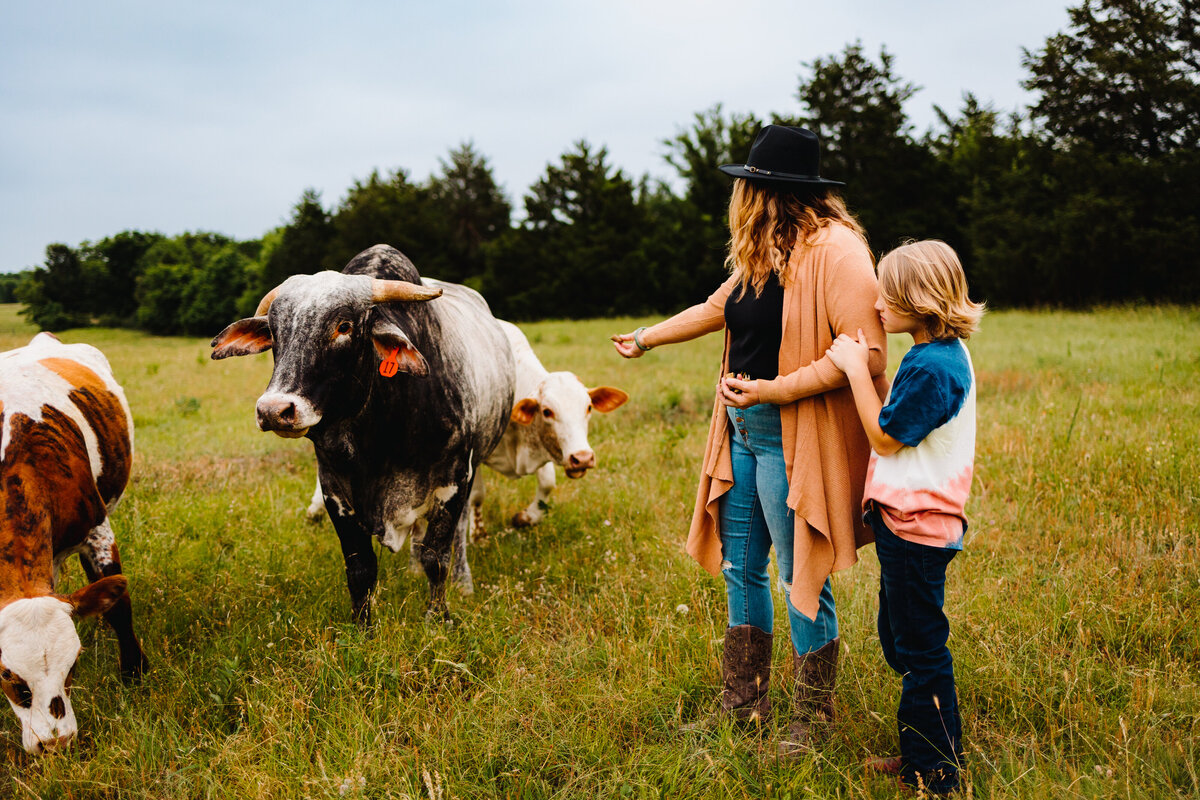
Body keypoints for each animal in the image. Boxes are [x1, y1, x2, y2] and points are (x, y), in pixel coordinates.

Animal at [0, 333, 146, 758]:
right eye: (7, 675)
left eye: (75, 664)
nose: (55, 743)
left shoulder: (97, 529)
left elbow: (119, 607)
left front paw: (134, 672)